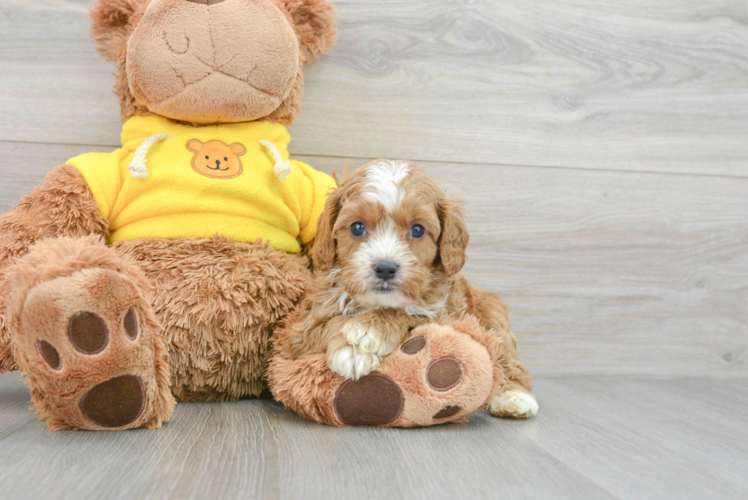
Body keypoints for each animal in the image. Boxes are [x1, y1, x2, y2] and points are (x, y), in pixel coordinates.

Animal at [290, 160, 540, 418]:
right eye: (357, 227)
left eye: (417, 230)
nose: (385, 268)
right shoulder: (302, 333)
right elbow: (332, 323)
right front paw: (351, 350)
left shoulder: (444, 315)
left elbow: (408, 312)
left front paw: (368, 331)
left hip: (492, 313)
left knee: (507, 358)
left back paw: (515, 396)